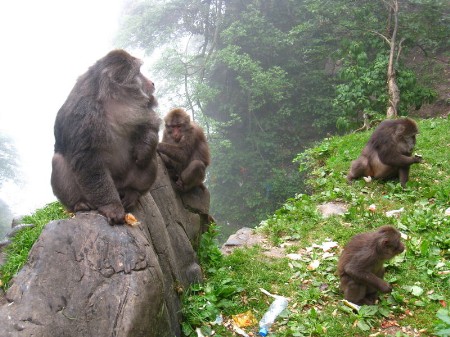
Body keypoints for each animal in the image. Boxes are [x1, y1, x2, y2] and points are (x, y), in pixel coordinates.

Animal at [51, 48, 160, 224]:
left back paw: (133, 192)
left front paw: (144, 148)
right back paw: (79, 204)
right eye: (138, 73)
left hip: (125, 182)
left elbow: (149, 122)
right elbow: (89, 162)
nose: (152, 83)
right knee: (58, 161)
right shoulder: (84, 117)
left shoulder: (137, 106)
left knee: (150, 159)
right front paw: (111, 206)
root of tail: (120, 187)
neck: (110, 100)